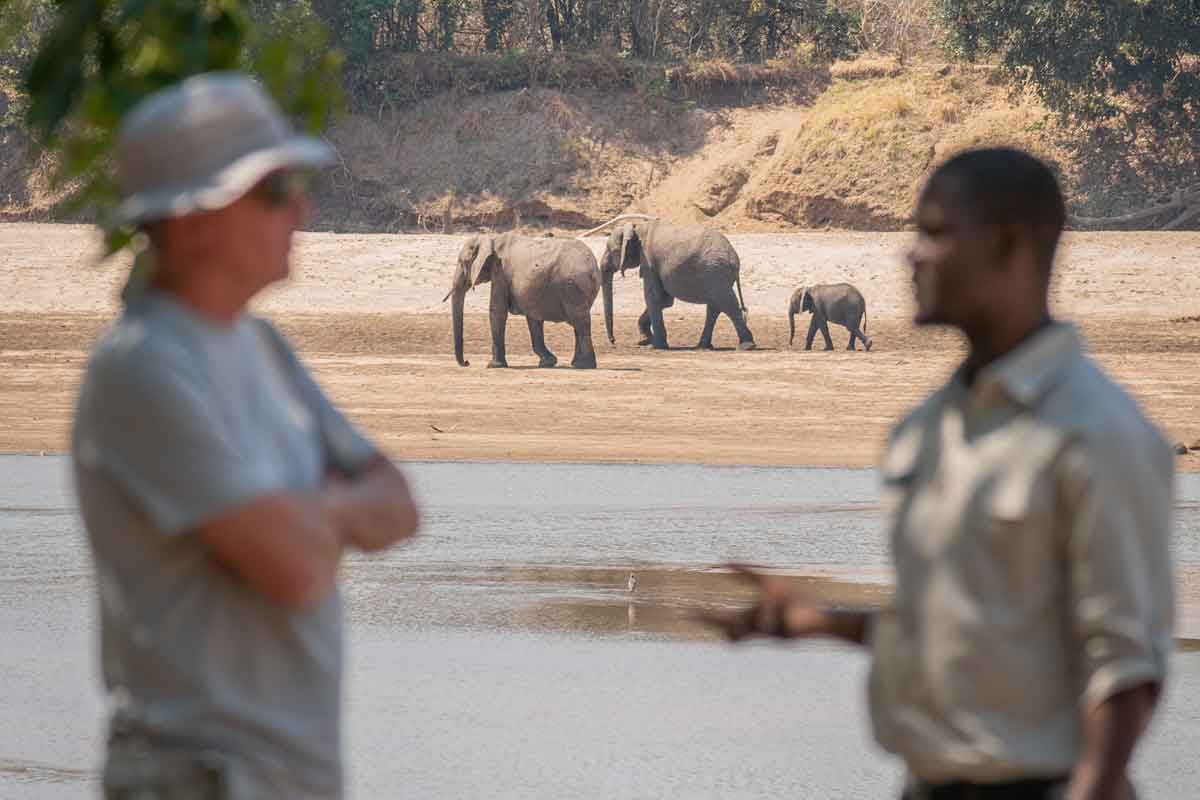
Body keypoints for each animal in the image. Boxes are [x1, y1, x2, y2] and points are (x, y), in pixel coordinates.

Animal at [444, 231, 614, 369]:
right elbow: (533, 319)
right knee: (578, 324)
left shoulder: (500, 272)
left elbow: (497, 311)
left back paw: (583, 365)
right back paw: (576, 363)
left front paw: (493, 366)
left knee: (580, 322)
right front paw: (547, 363)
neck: (491, 239)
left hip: (573, 287)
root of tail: (593, 265)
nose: (467, 363)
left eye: (462, 262)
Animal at [595, 215, 753, 350]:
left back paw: (746, 346)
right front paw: (644, 341)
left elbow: (655, 297)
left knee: (726, 303)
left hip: (715, 272)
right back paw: (703, 347)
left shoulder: (649, 261)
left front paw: (655, 346)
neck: (637, 227)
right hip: (716, 274)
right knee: (715, 306)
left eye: (611, 250)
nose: (613, 341)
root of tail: (734, 259)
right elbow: (664, 300)